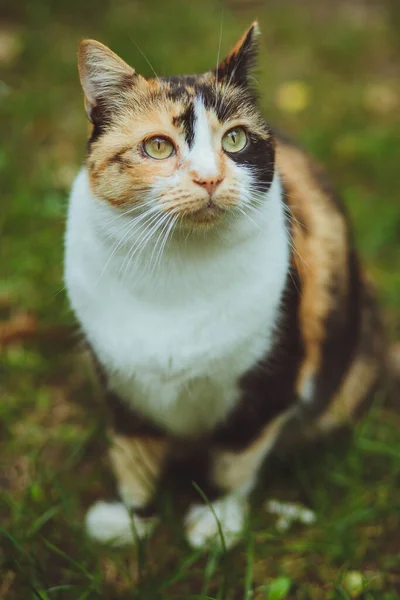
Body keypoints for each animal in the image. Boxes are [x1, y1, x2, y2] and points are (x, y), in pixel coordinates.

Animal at [64, 22, 386, 548]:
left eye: (235, 139)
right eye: (158, 146)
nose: (210, 177)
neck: (174, 272)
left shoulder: (272, 382)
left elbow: (235, 458)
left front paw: (215, 524)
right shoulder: (120, 384)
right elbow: (133, 454)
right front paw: (129, 519)